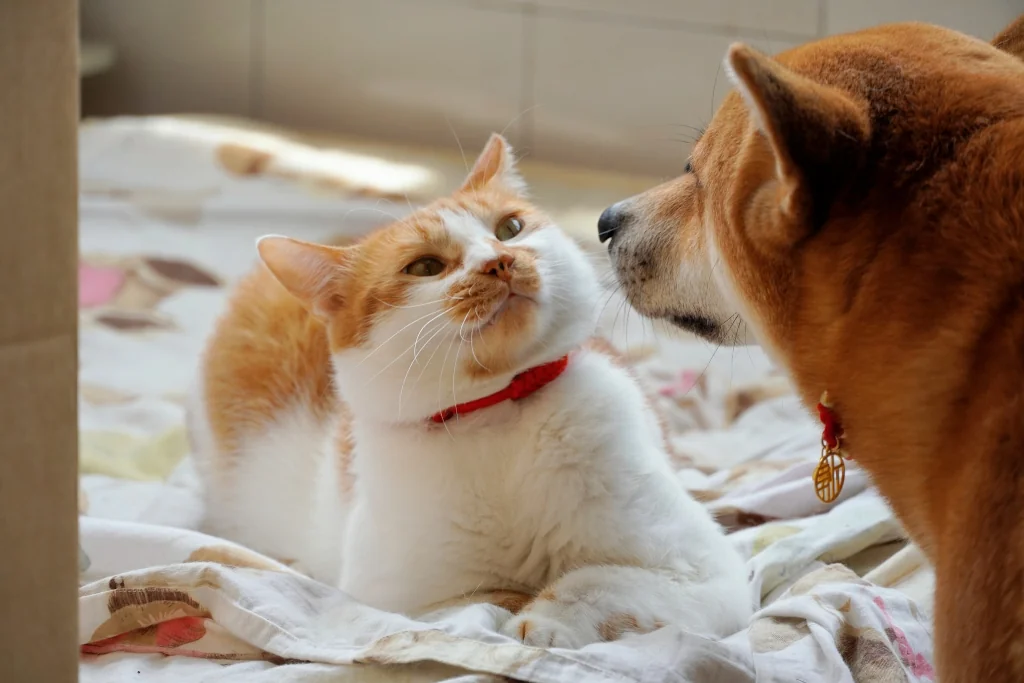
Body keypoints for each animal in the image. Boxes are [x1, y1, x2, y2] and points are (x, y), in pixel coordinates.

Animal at [190, 135, 753, 651]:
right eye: (424, 267)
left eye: (510, 229)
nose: (498, 261)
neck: (496, 411)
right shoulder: (397, 597)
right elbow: (484, 597)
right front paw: (518, 604)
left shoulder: (705, 569)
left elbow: (596, 580)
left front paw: (547, 620)